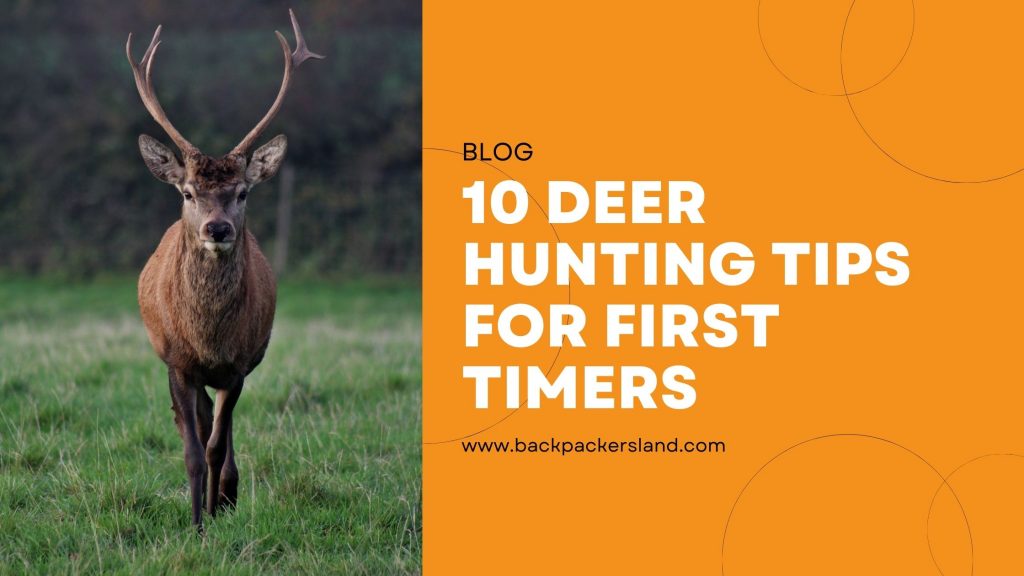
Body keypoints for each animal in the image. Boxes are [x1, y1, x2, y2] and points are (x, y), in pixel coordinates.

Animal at [127, 9, 323, 532]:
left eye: (243, 192)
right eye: (188, 192)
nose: (217, 228)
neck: (209, 335)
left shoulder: (237, 366)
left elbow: (215, 446)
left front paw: (215, 511)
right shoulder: (178, 362)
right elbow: (193, 450)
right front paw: (196, 522)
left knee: (221, 429)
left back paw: (228, 496)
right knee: (193, 424)